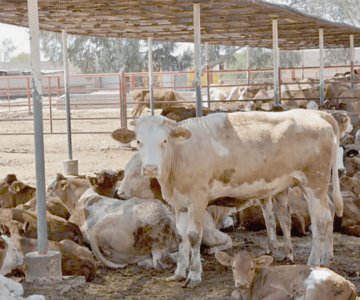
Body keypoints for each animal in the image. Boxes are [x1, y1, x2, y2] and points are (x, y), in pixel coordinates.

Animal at [112, 109, 344, 288]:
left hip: (315, 183)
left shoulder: (198, 199)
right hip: (314, 186)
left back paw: (314, 263)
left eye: (164, 140)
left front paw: (194, 275)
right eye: (139, 141)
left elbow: (194, 236)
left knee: (320, 220)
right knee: (328, 213)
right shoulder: (179, 204)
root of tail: (318, 116)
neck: (179, 156)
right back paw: (325, 258)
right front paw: (178, 273)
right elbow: (181, 236)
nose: (150, 168)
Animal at [215, 251, 356, 300]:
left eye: (252, 268)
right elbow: (234, 294)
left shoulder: (283, 293)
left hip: (313, 293)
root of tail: (348, 282)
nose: (242, 283)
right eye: (233, 267)